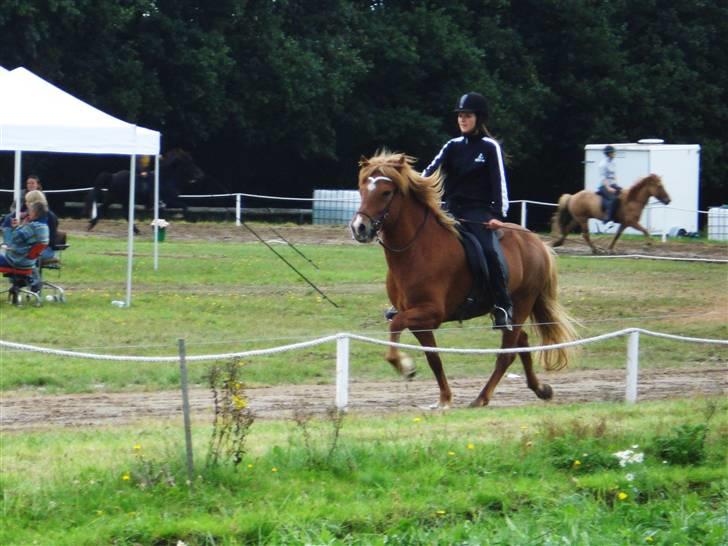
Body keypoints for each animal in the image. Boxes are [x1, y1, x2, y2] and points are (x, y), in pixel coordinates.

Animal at [350, 151, 576, 406]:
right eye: (362, 189)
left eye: (386, 192)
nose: (359, 227)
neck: (416, 250)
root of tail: (536, 242)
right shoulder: (419, 321)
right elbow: (433, 359)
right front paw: (444, 398)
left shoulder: (430, 313)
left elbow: (397, 326)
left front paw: (405, 367)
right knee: (522, 343)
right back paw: (540, 389)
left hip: (521, 304)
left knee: (507, 354)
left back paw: (482, 398)